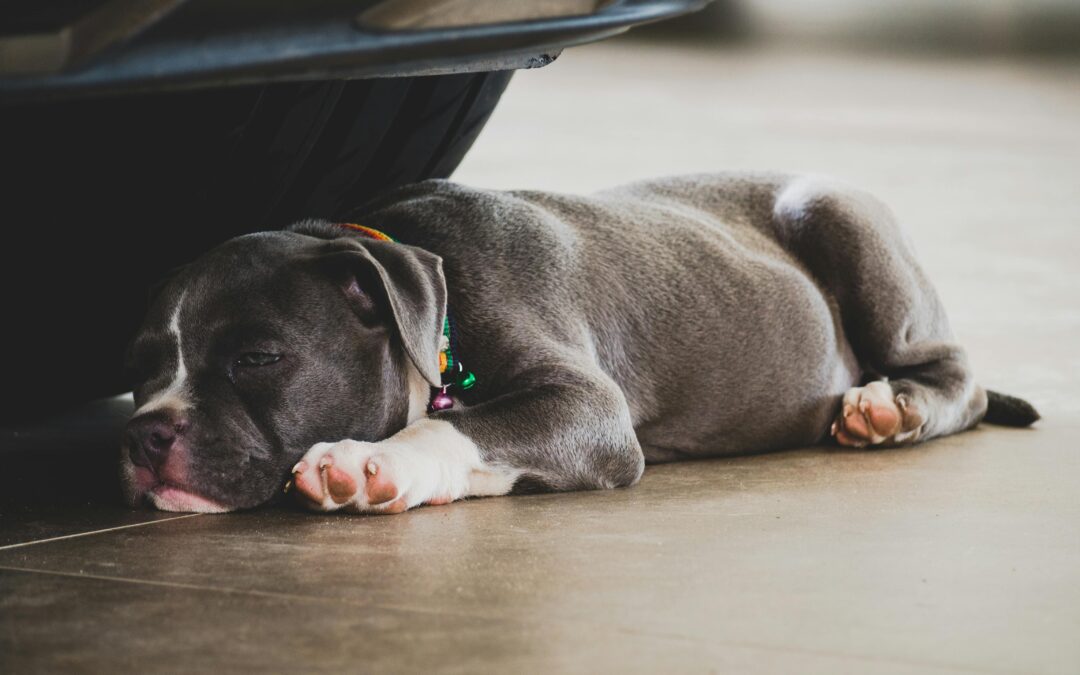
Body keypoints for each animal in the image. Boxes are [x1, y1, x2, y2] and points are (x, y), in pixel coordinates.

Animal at [122, 172, 1041, 509]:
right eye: (141, 366)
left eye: (258, 358)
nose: (144, 433)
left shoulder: (589, 408)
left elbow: (459, 425)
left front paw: (371, 461)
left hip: (837, 214)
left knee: (958, 375)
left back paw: (889, 408)